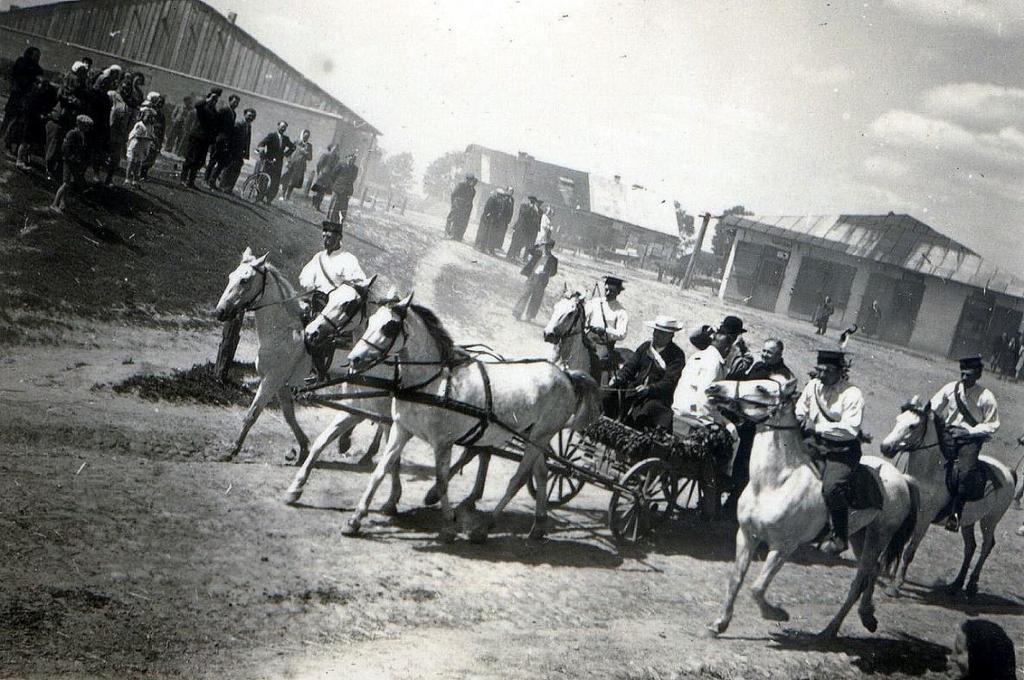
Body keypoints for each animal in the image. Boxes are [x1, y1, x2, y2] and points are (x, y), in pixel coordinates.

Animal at [216, 249, 311, 462]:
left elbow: (252, 414)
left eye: (244, 280)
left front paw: (233, 449)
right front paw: (303, 447)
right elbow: (289, 415)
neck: (283, 333)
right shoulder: (281, 383)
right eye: (230, 276)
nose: (220, 311)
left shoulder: (271, 380)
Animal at [344, 294, 598, 544]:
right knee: (542, 474)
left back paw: (484, 528)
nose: (354, 358)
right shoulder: (401, 429)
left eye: (389, 326)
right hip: (533, 436)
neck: (433, 383)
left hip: (540, 435)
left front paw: (448, 527)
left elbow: (442, 481)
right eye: (370, 320)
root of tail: (566, 375)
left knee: (517, 479)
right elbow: (381, 471)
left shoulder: (443, 442)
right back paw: (538, 526)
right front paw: (356, 519)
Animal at [704, 378, 921, 639]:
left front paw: (777, 614)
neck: (774, 483)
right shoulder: (747, 535)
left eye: (761, 388)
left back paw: (835, 628)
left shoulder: (783, 547)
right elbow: (736, 579)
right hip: (860, 535)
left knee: (862, 576)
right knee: (872, 570)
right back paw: (862, 618)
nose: (714, 388)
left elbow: (757, 587)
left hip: (880, 535)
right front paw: (720, 623)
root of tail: (902, 477)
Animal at [880, 395, 1015, 598]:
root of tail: (1007, 472)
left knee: (986, 546)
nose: (885, 447)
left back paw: (971, 585)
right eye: (898, 420)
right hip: (968, 521)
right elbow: (895, 540)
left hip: (990, 520)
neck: (927, 474)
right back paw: (956, 584)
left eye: (912, 426)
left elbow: (909, 551)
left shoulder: (924, 519)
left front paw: (896, 585)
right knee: (971, 547)